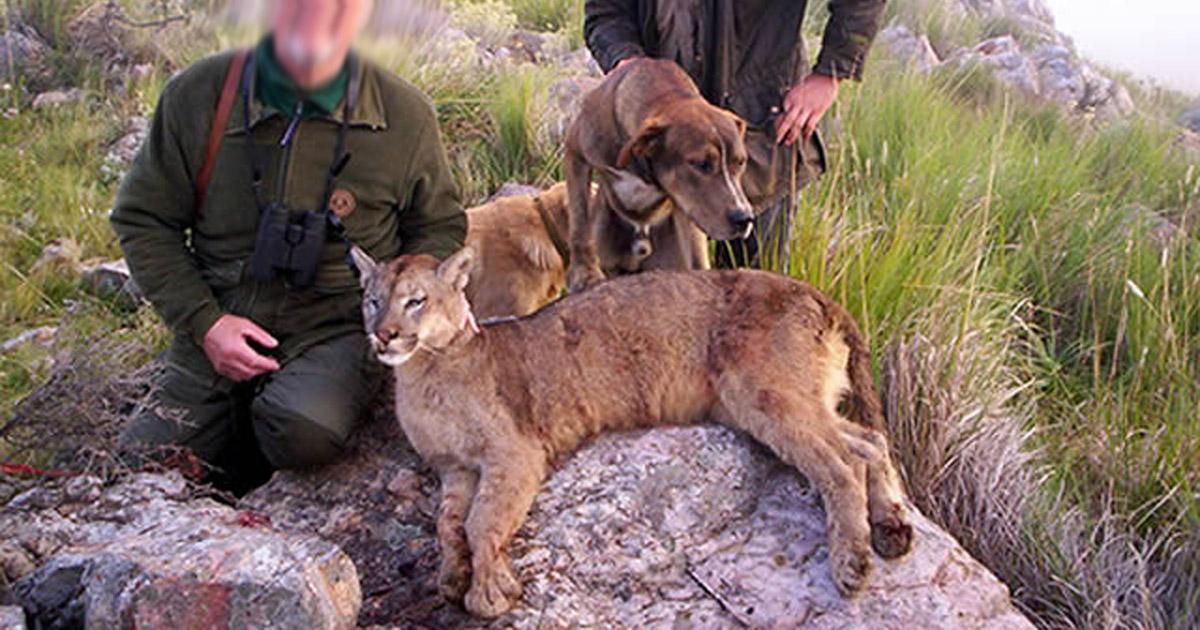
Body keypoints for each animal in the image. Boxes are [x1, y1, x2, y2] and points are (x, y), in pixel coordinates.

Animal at [350, 247, 912, 619]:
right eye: (372, 300)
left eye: (416, 301)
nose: (382, 335)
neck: (427, 373)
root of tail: (811, 290)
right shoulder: (454, 468)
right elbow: (447, 524)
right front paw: (450, 578)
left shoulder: (514, 454)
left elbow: (482, 521)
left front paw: (488, 593)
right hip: (764, 401)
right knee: (868, 441)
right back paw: (892, 527)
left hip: (764, 392)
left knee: (843, 462)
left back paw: (853, 562)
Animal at [561, 57, 748, 291]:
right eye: (702, 164)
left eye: (740, 162)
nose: (745, 218)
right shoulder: (575, 150)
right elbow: (579, 220)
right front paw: (584, 273)